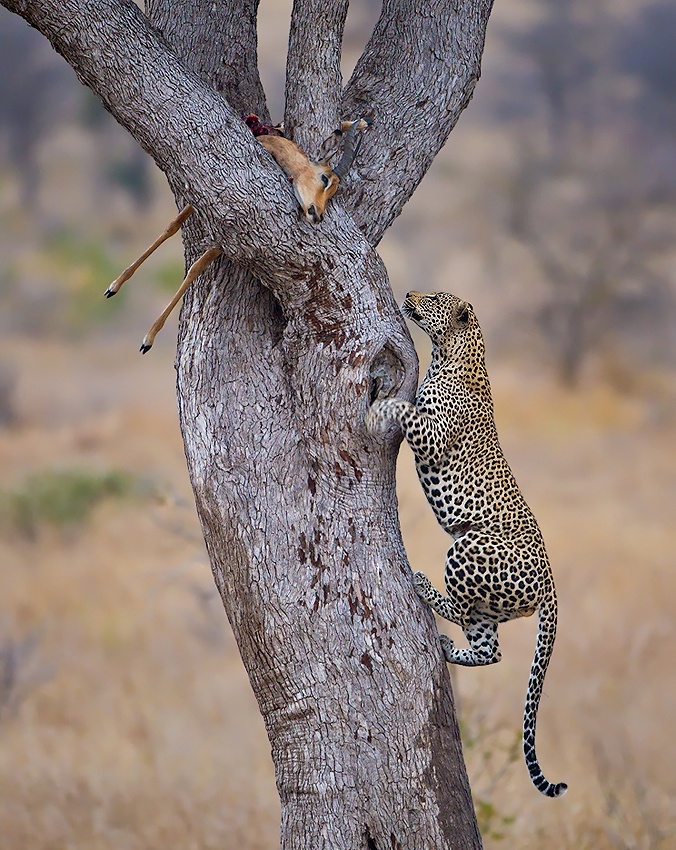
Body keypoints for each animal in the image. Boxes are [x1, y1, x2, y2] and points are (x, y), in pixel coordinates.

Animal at [366, 290, 567, 798]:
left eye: (436, 300)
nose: (410, 294)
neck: (450, 354)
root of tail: (552, 584)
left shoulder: (431, 435)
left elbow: (404, 409)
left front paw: (378, 407)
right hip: (493, 603)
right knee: (489, 649)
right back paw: (447, 646)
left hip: (467, 545)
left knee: (459, 609)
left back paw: (422, 585)